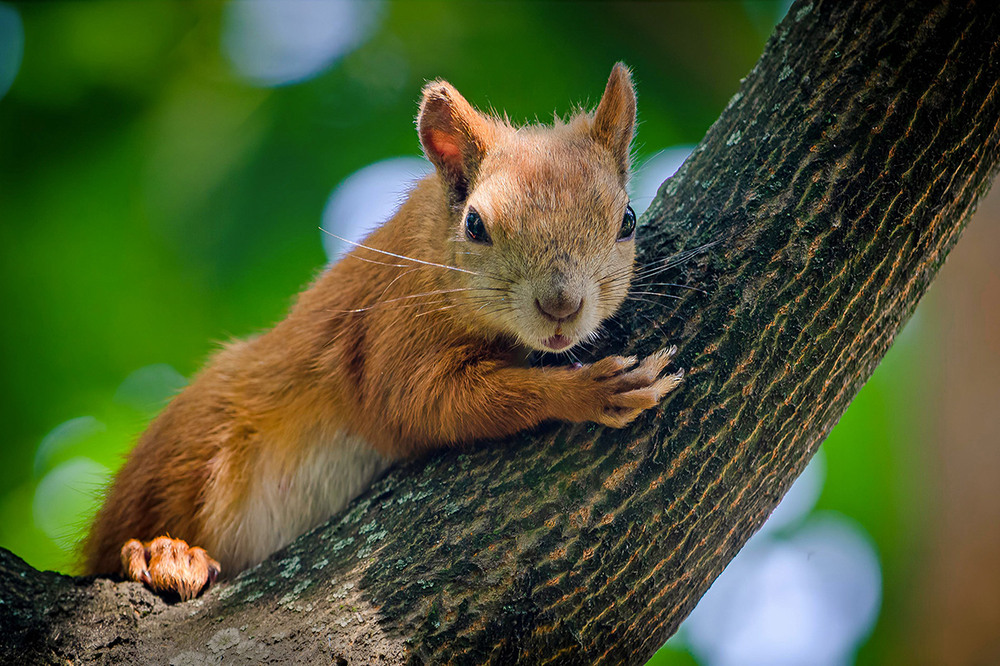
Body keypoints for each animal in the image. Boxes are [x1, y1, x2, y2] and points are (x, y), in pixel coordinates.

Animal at [82, 65, 684, 600]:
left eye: (628, 220)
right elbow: (419, 402)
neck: (431, 248)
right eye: (475, 225)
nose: (561, 307)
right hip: (188, 446)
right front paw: (591, 390)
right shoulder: (389, 331)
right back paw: (161, 553)